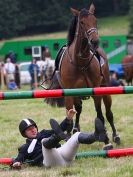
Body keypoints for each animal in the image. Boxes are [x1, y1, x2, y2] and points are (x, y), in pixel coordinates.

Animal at [43, 3, 120, 149]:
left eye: (95, 20)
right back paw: (75, 129)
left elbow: (100, 116)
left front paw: (106, 141)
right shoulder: (69, 93)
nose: (95, 41)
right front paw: (68, 137)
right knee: (78, 109)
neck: (80, 63)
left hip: (105, 88)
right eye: (82, 22)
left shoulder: (96, 91)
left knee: (109, 114)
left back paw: (115, 135)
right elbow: (70, 116)